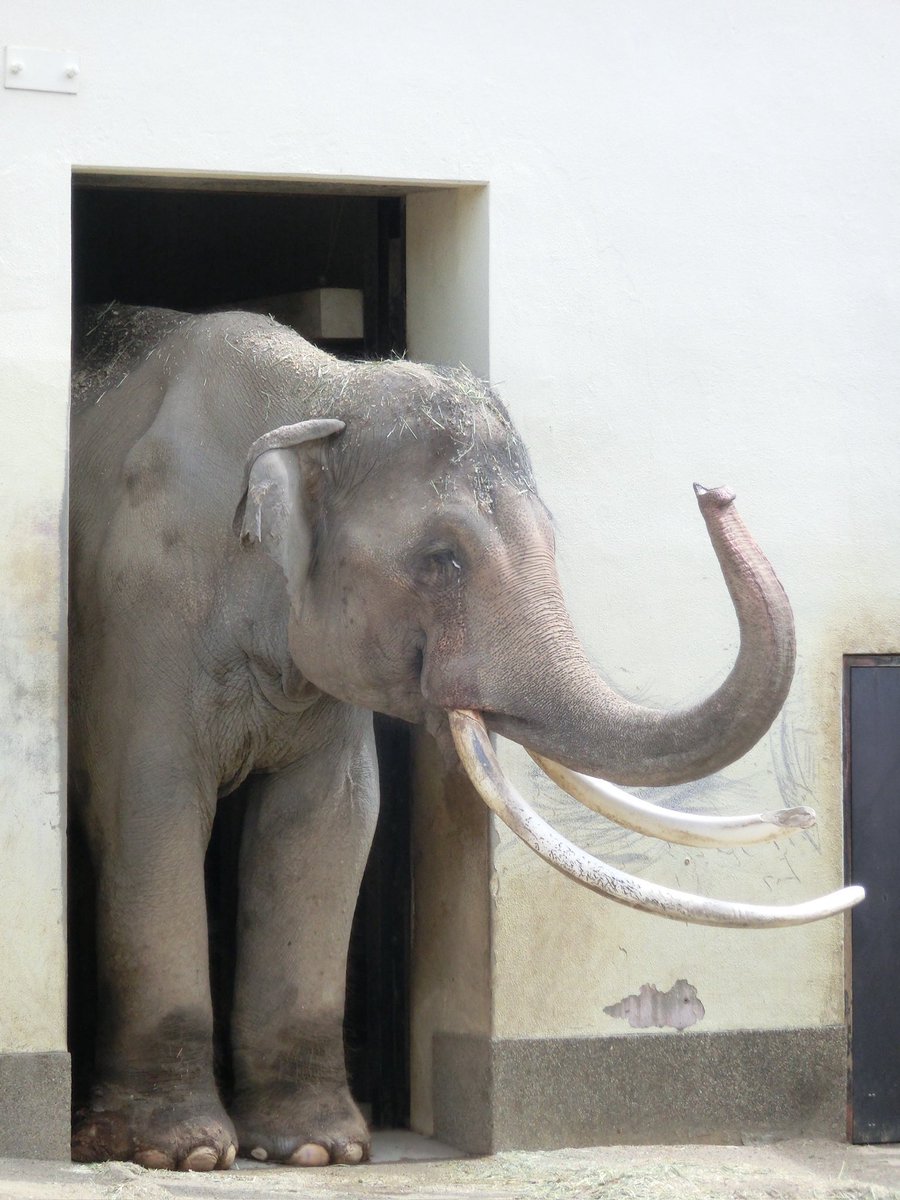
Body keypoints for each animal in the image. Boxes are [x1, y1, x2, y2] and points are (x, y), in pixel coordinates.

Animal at [68, 304, 862, 1172]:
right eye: (441, 558)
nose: (711, 490)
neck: (319, 390)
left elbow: (330, 823)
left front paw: (318, 1151)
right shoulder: (140, 609)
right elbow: (148, 811)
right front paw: (182, 1153)